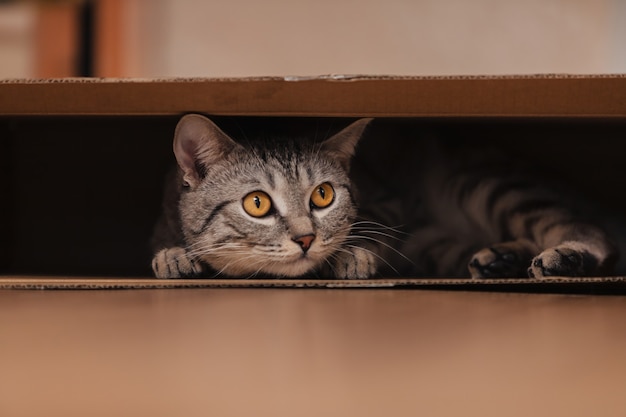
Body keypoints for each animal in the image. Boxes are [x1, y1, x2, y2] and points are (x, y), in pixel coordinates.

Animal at [150, 114, 616, 280]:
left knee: (588, 229)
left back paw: (566, 256)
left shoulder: (388, 204)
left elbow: (369, 231)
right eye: (257, 203)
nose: (305, 238)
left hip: (483, 186)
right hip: (436, 244)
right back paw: (500, 259)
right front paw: (173, 255)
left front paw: (351, 257)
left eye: (323, 195)